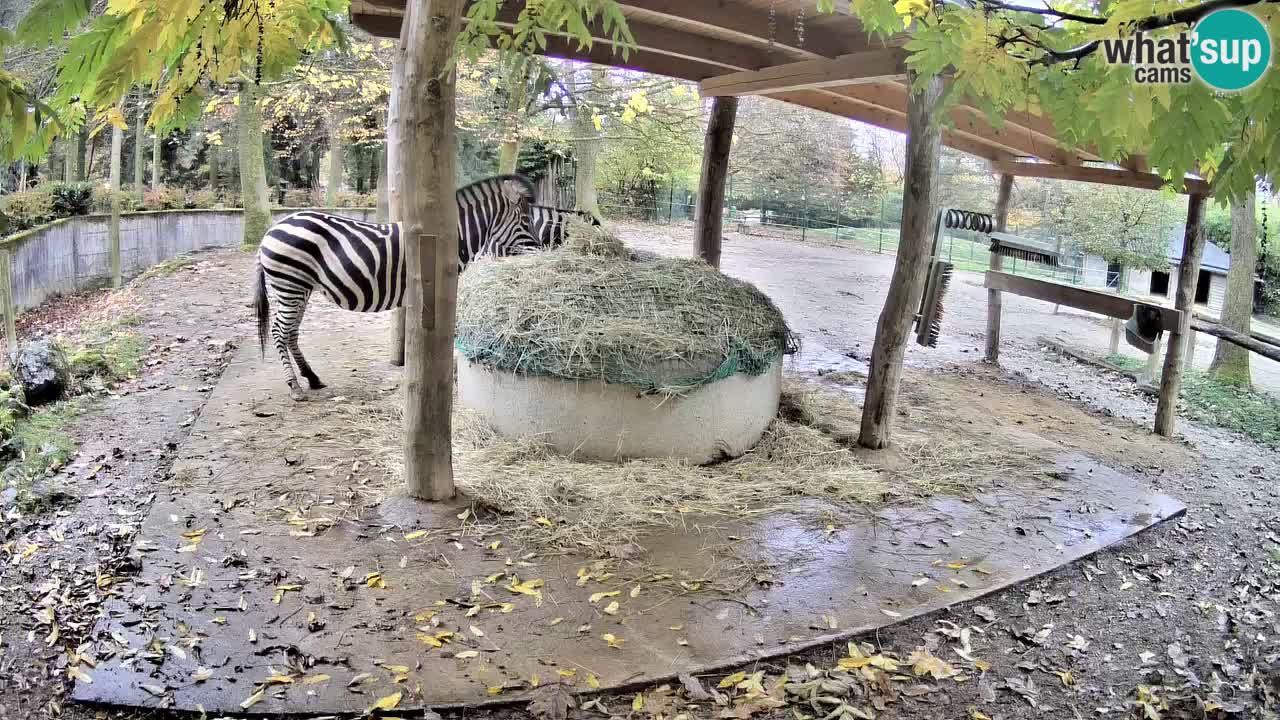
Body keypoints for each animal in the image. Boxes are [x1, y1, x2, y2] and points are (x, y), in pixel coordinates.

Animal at [253, 174, 541, 401]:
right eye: (526, 222)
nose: (540, 251)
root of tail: (271, 230)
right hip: (290, 285)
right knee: (279, 331)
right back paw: (294, 387)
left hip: (300, 288)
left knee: (291, 332)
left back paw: (312, 378)